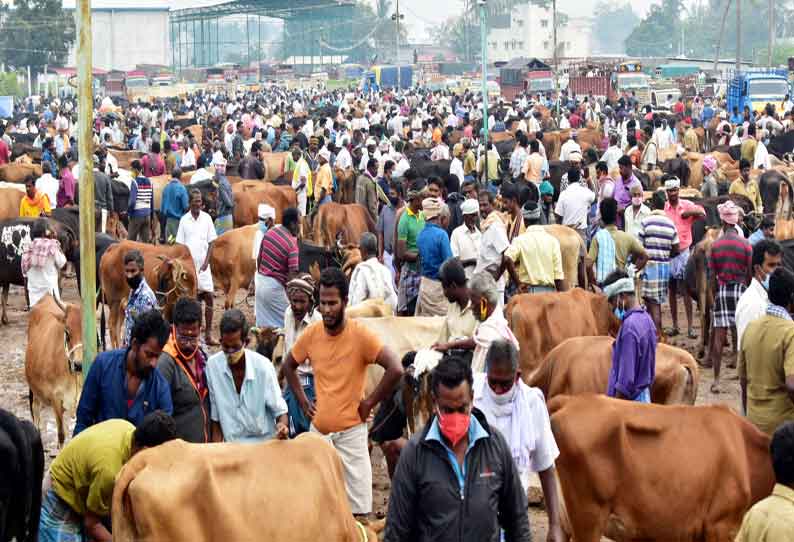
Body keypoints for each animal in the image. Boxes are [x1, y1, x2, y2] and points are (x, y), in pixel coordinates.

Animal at [25, 296, 83, 448]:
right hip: (35, 390)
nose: (79, 365)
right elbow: (61, 435)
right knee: (36, 411)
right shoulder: (56, 398)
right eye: (67, 332)